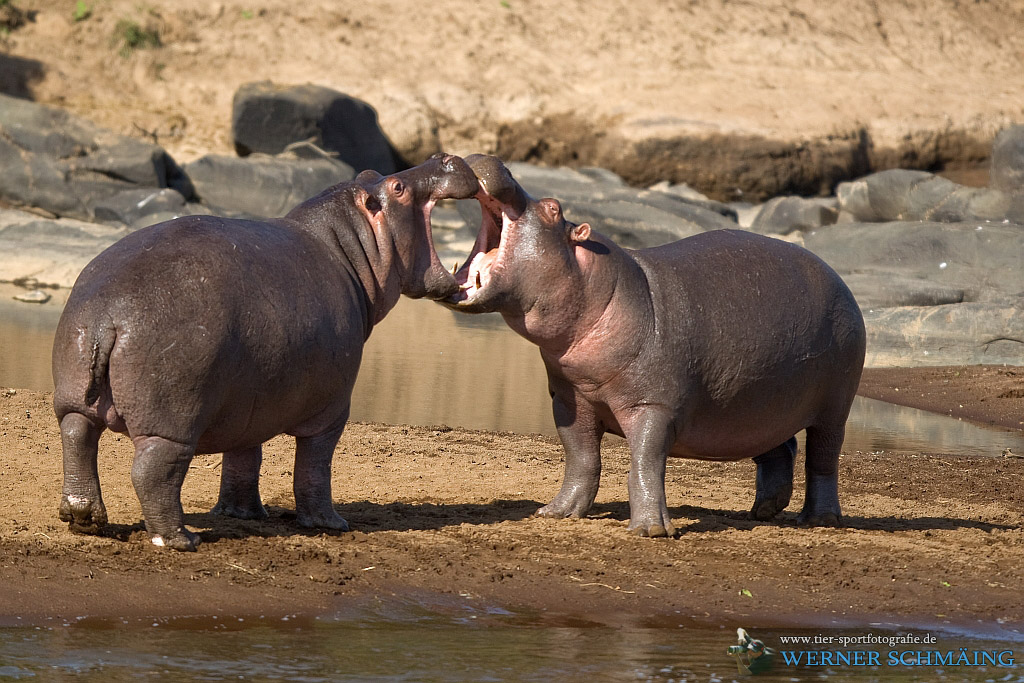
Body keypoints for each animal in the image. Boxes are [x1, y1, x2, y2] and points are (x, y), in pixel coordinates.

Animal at [50, 153, 475, 548]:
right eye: (398, 189)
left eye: (371, 173)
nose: (445, 157)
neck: (350, 247)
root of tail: (107, 314)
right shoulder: (333, 409)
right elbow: (315, 465)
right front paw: (330, 524)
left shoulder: (248, 400)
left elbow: (244, 458)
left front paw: (242, 514)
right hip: (172, 424)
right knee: (152, 471)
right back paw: (179, 539)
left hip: (75, 394)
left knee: (77, 438)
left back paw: (84, 518)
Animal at [438, 156, 864, 540]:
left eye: (554, 208)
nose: (488, 157)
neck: (603, 289)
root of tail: (839, 279)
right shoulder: (569, 400)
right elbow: (581, 459)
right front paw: (556, 512)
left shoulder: (653, 406)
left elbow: (644, 463)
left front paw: (650, 531)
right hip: (759, 403)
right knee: (779, 448)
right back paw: (762, 512)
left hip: (834, 405)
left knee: (822, 459)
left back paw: (819, 520)